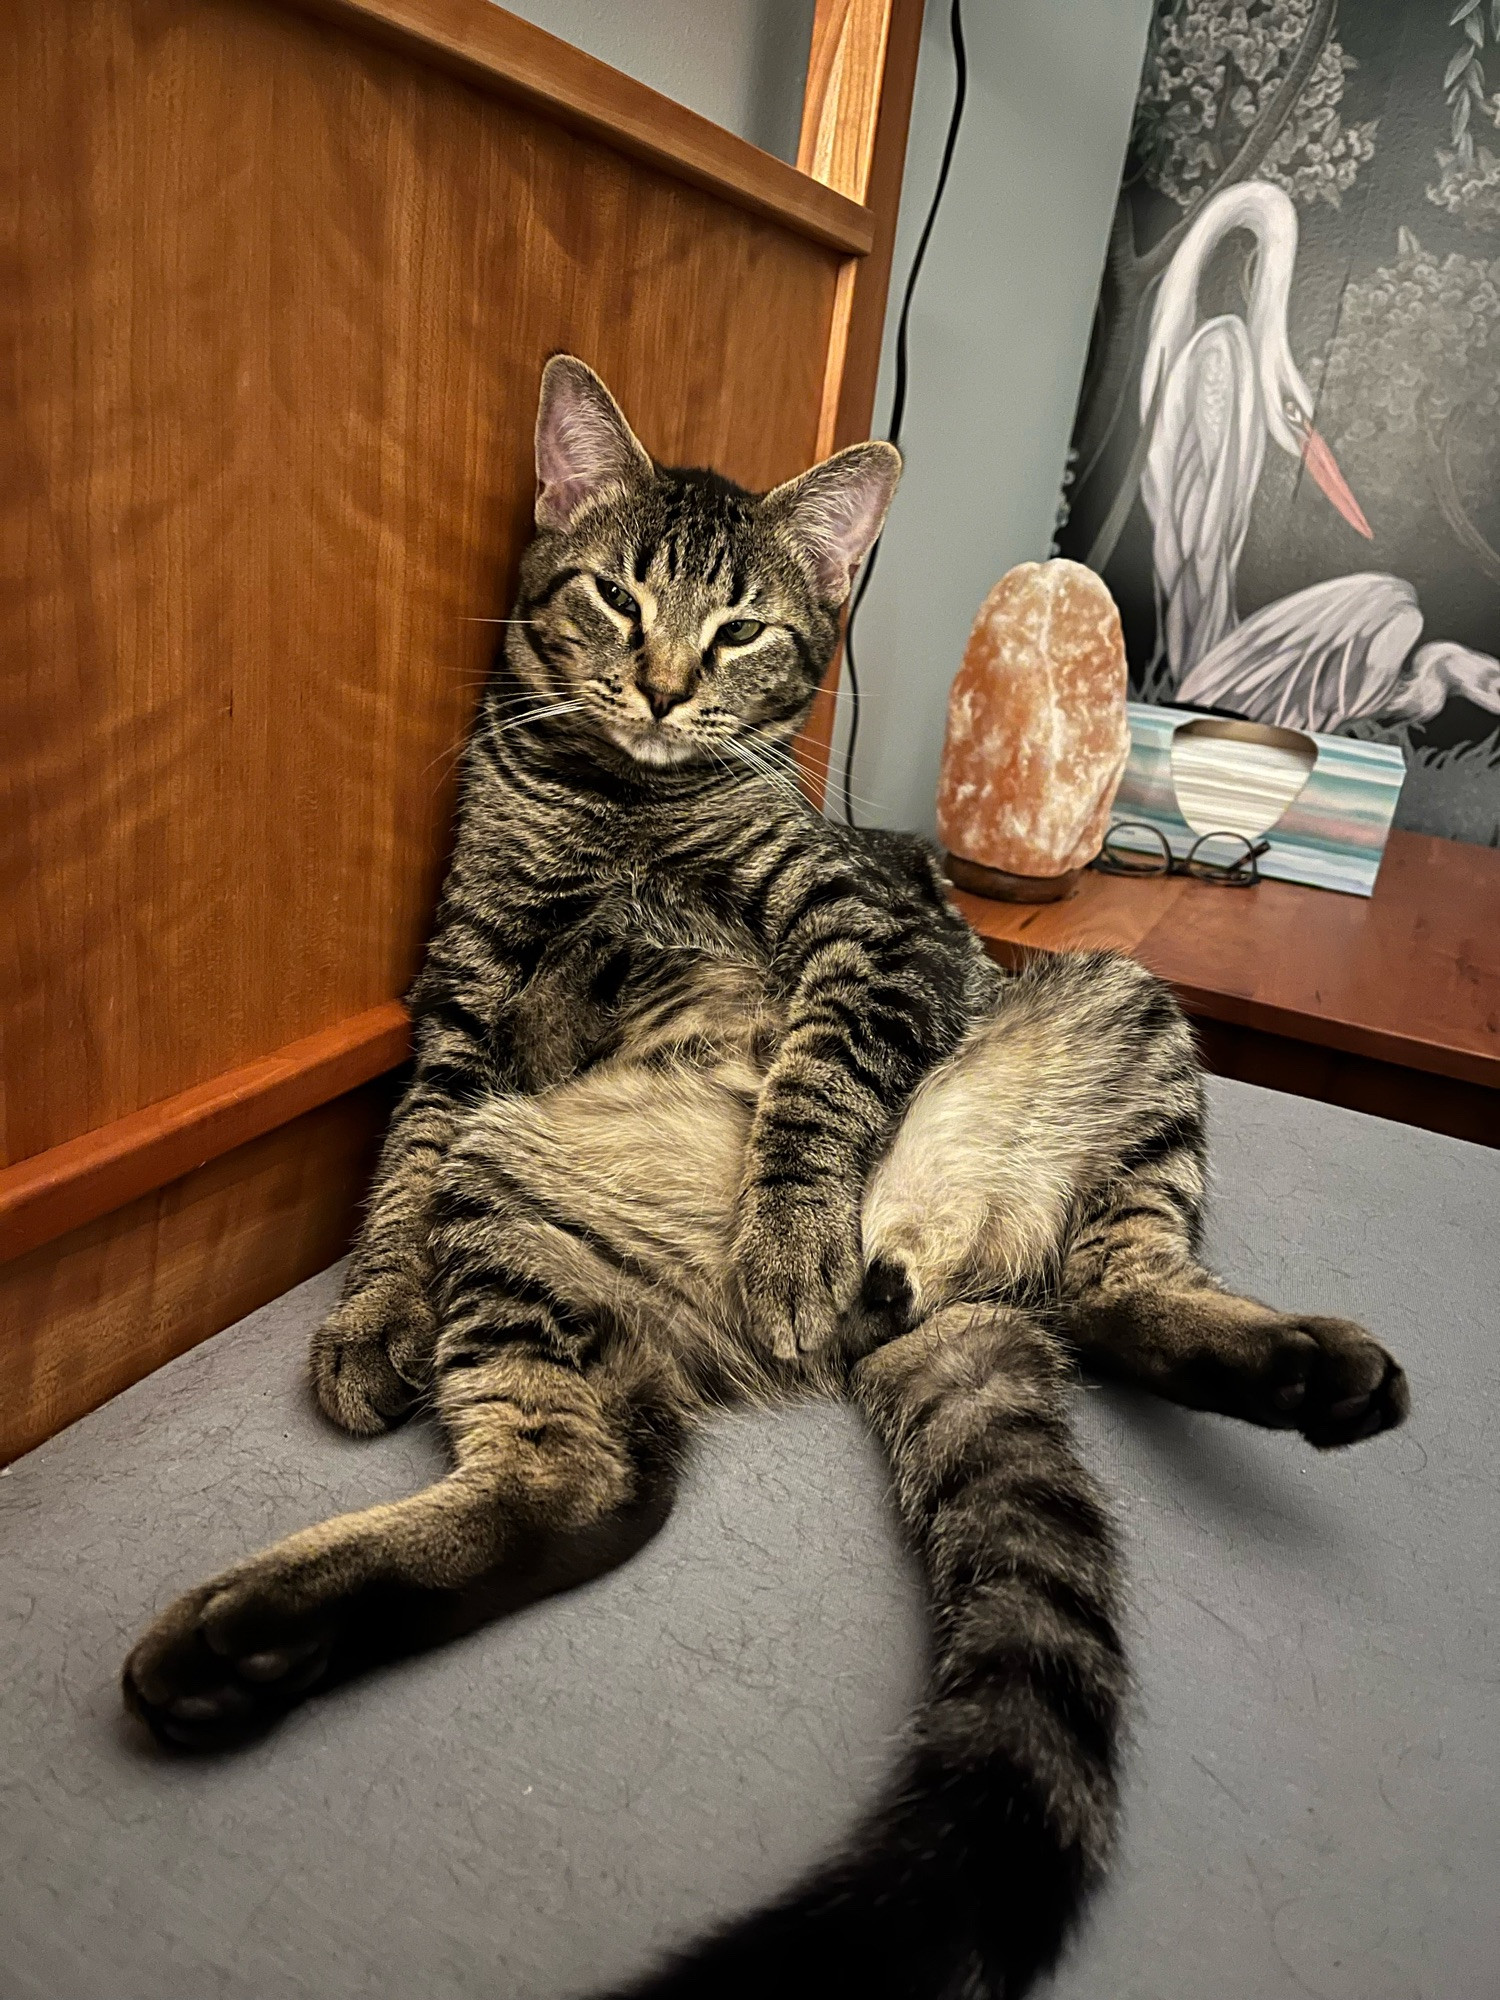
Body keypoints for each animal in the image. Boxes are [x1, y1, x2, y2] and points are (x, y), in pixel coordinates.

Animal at [123, 360, 1416, 2000]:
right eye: (616, 596)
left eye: (740, 630)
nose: (668, 686)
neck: (617, 802)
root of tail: (940, 1283)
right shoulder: (463, 1002)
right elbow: (398, 1161)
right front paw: (367, 1312)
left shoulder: (871, 925)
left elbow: (817, 1073)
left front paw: (790, 1237)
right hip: (561, 1179)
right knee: (617, 1471)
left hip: (1109, 1012)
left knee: (627, 1467)